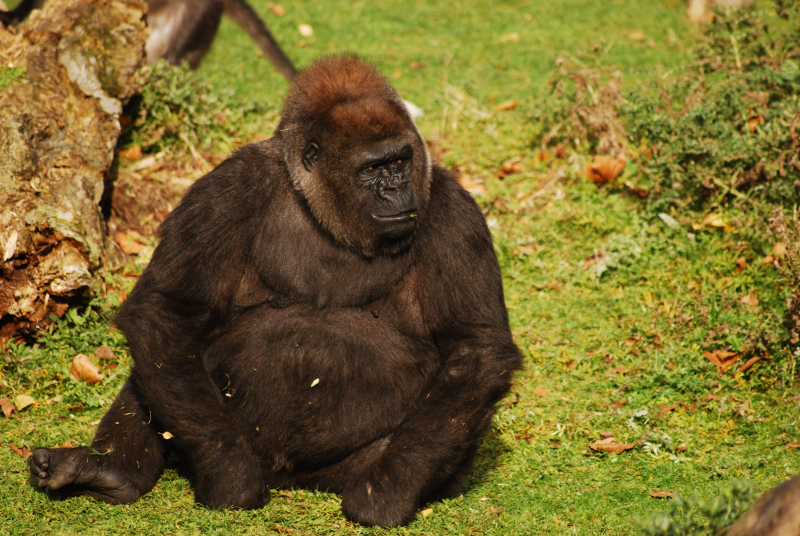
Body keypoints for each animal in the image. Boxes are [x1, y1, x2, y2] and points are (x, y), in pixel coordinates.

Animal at [28, 55, 521, 527]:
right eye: (373, 168)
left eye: (400, 161)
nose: (398, 189)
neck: (323, 210)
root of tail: (290, 478)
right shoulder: (226, 191)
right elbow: (167, 309)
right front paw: (230, 477)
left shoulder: (454, 213)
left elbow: (476, 350)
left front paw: (385, 493)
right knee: (164, 355)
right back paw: (109, 470)